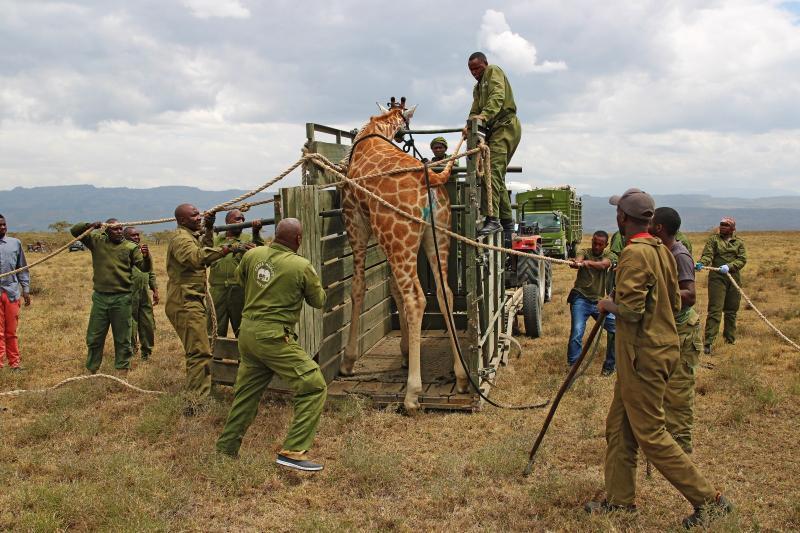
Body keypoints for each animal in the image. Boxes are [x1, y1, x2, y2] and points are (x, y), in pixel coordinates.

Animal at [338, 103, 468, 412]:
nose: (402, 136)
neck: (371, 134)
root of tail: (433, 178)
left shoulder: (355, 220)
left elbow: (358, 287)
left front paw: (347, 362)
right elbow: (393, 289)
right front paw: (406, 351)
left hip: (398, 235)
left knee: (417, 299)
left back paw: (412, 394)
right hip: (436, 235)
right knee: (444, 292)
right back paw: (460, 377)